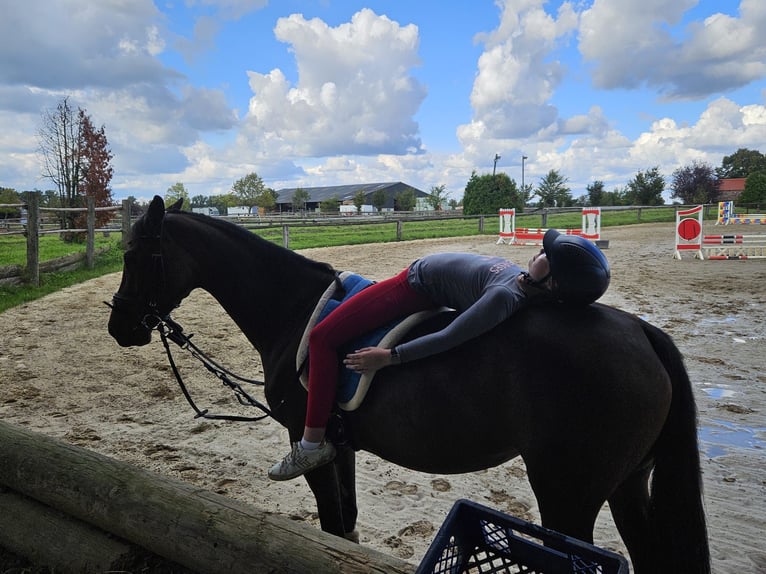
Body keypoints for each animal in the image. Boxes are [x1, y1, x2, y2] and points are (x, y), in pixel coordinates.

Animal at [109, 196, 712, 572]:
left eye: (134, 256)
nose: (119, 327)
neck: (292, 310)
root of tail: (641, 330)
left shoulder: (308, 438)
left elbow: (330, 521)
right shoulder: (340, 445)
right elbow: (346, 525)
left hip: (570, 495)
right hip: (626, 485)